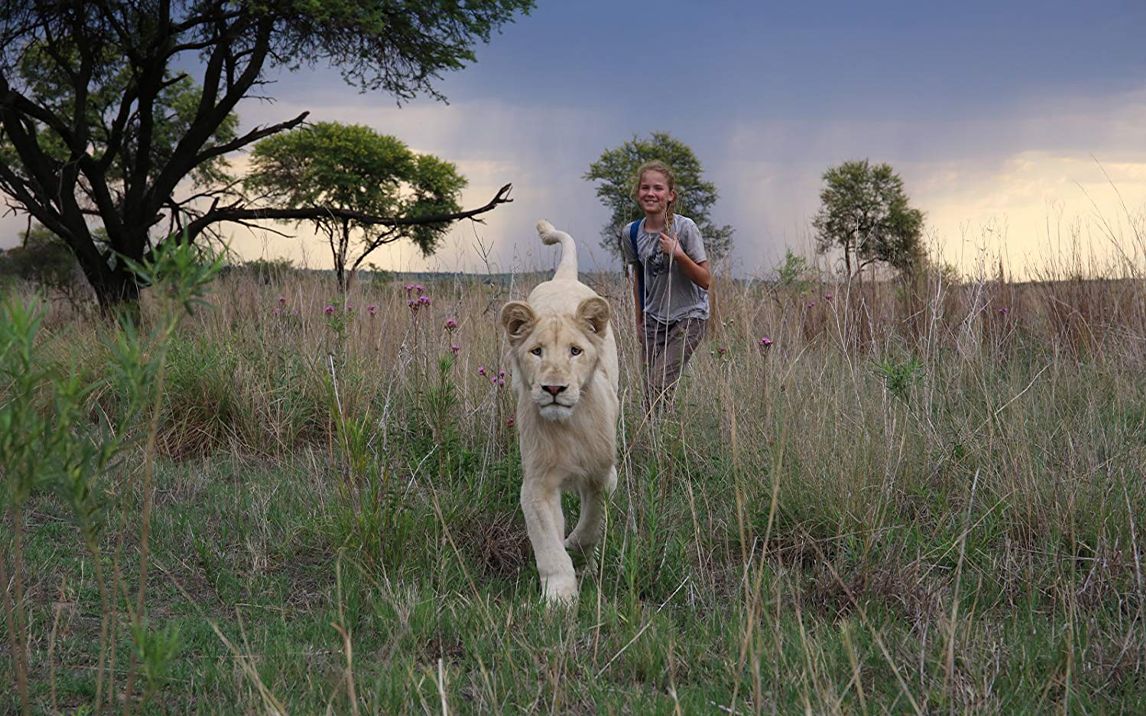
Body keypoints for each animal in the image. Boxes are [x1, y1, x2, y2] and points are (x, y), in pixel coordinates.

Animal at [499, 217, 618, 604]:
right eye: (536, 352)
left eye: (575, 351)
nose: (554, 388)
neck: (568, 426)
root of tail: (563, 277)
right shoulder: (537, 484)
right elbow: (548, 544)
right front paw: (559, 599)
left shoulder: (601, 475)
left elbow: (592, 523)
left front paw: (578, 551)